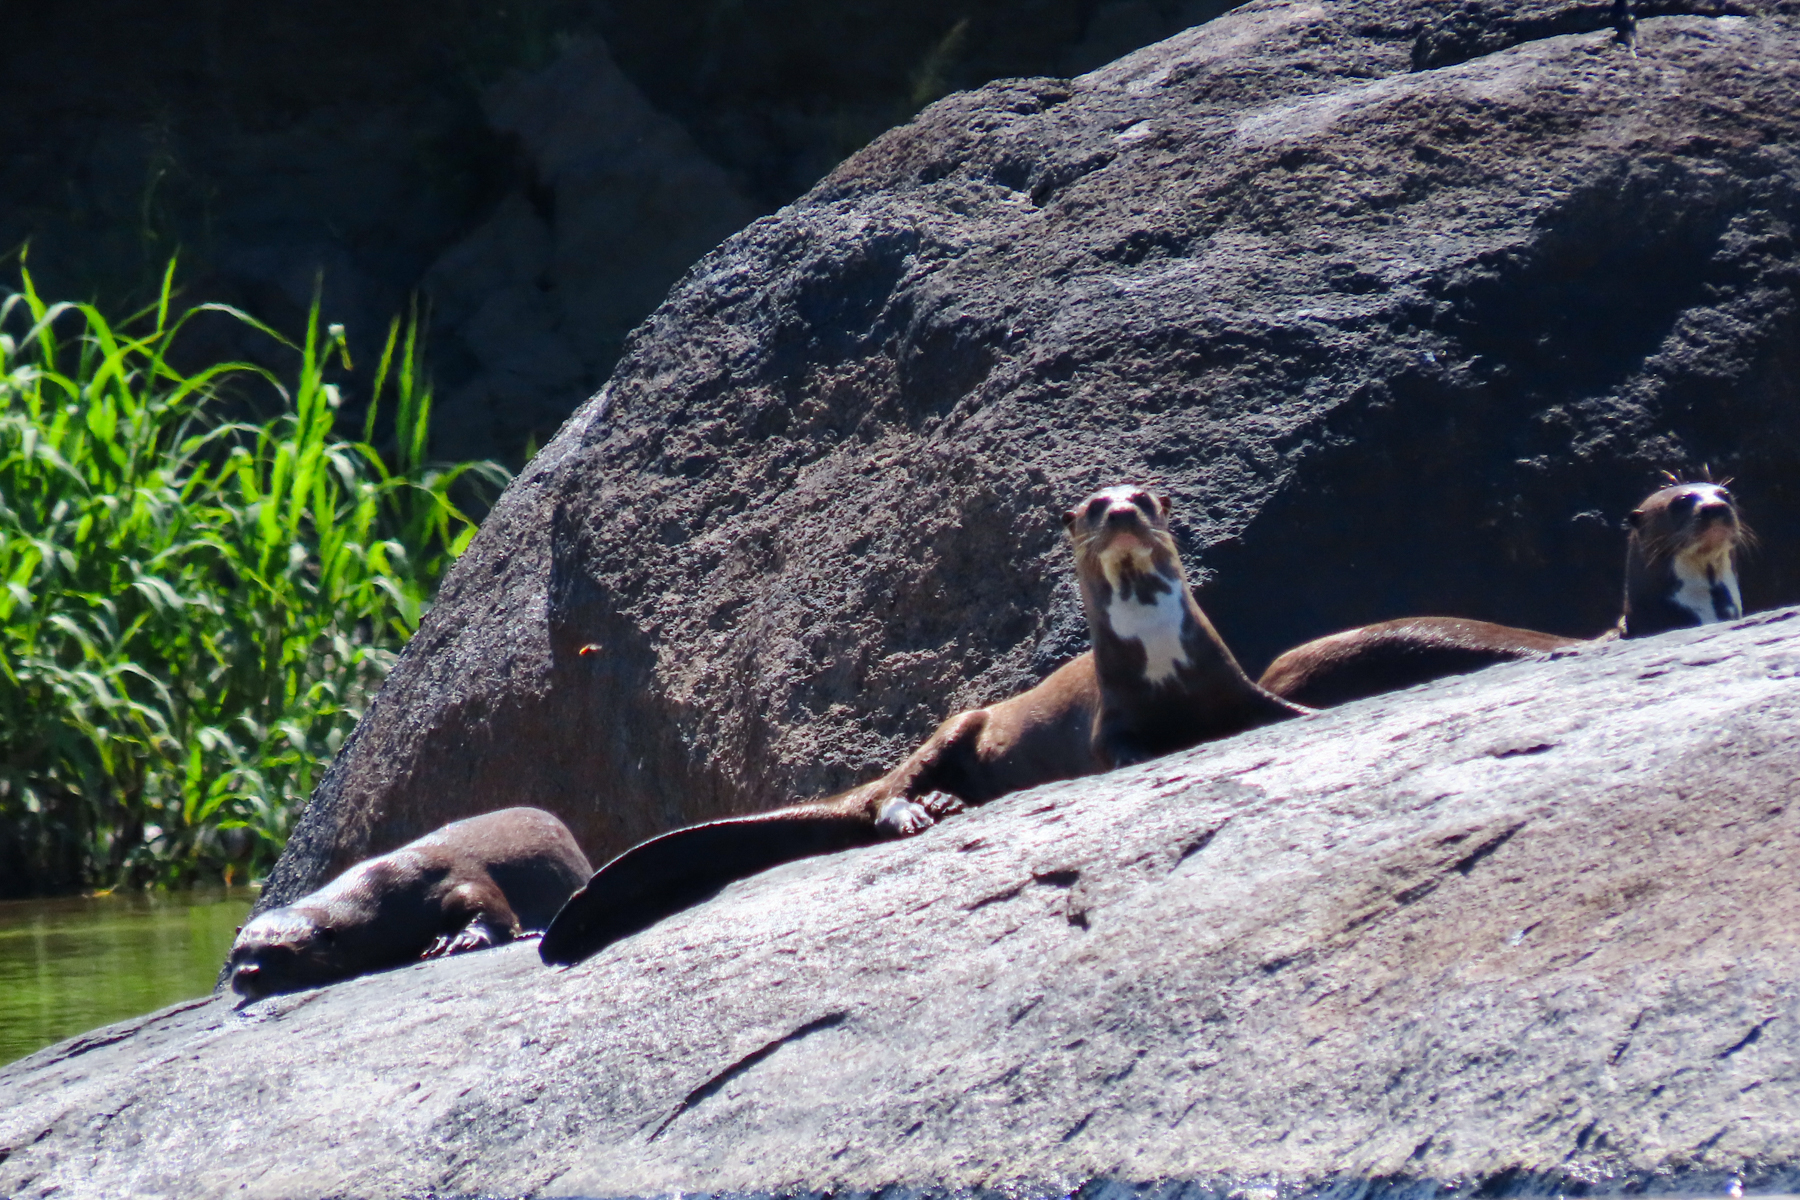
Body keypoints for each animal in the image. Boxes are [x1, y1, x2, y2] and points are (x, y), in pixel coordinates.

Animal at [229, 807, 591, 1000]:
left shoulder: (449, 874)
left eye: (281, 953)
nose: (247, 972)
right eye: (236, 954)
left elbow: (487, 903)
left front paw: (461, 939)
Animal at [539, 485, 1306, 966]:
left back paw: (946, 804)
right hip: (955, 725)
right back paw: (917, 811)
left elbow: (1276, 711)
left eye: (1142, 499)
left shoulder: (1227, 677)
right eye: (1094, 506)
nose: (1119, 511)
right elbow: (1114, 749)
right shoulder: (1107, 713)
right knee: (884, 797)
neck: (1158, 649)